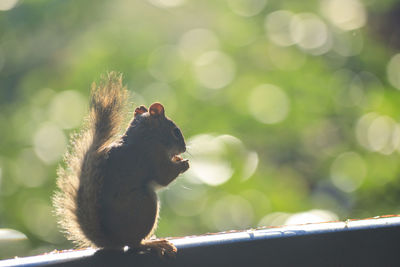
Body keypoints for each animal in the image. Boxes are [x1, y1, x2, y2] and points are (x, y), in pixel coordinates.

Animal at [52, 71, 189, 258]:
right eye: (175, 132)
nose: (184, 148)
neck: (147, 135)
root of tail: (113, 240)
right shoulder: (152, 156)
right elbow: (164, 177)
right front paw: (183, 164)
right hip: (145, 204)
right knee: (134, 244)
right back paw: (155, 244)